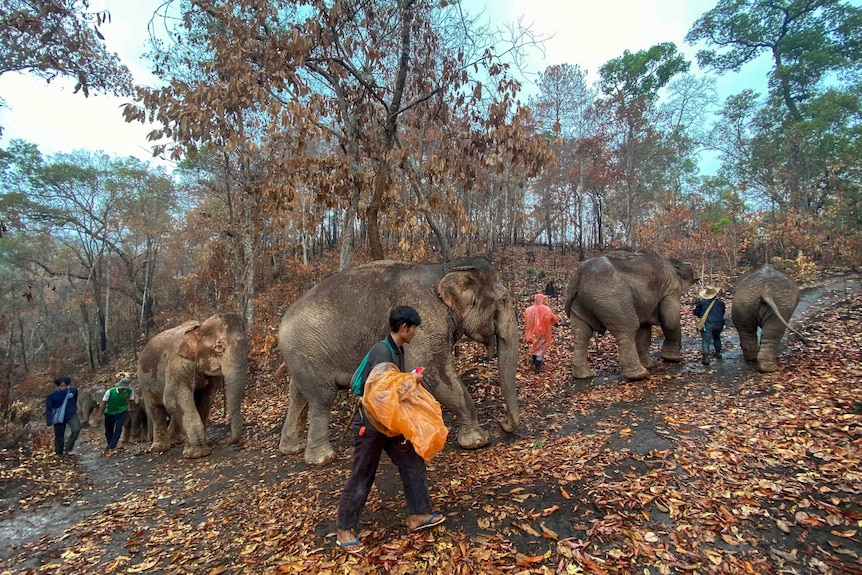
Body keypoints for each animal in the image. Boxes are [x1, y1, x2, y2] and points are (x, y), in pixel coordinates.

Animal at [137, 312, 248, 462]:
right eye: (219, 348)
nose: (228, 440)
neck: (199, 328)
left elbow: (205, 398)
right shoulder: (178, 365)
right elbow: (172, 398)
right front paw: (197, 454)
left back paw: (175, 441)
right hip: (145, 381)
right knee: (156, 409)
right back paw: (159, 448)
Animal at [278, 258, 520, 466]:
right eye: (503, 300)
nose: (503, 423)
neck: (445, 269)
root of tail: (280, 327)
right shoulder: (425, 320)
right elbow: (435, 373)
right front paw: (478, 441)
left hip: (301, 358)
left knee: (298, 394)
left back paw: (291, 448)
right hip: (309, 353)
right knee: (322, 398)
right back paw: (322, 459)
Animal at [564, 250, 700, 380]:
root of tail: (578, 277)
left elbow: (644, 329)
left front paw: (650, 365)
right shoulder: (671, 288)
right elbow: (670, 320)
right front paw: (673, 360)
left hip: (579, 304)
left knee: (582, 334)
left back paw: (584, 375)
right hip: (613, 300)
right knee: (627, 329)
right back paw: (640, 375)